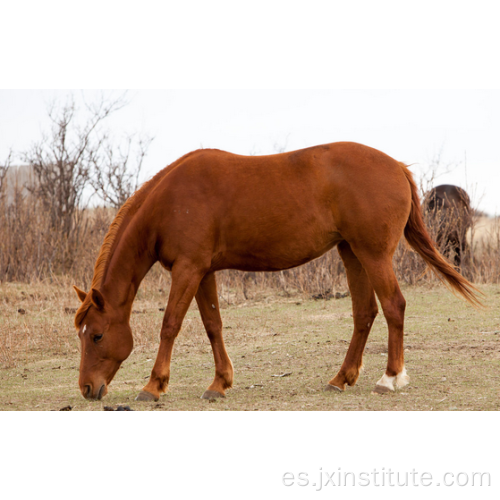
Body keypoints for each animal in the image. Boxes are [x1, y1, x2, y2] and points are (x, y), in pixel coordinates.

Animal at [73, 142, 480, 402]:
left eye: (96, 335)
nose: (87, 389)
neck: (170, 201)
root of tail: (397, 166)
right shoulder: (203, 272)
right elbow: (213, 325)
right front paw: (220, 384)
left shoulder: (188, 270)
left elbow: (170, 325)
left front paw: (154, 386)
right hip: (352, 253)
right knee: (365, 313)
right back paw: (341, 378)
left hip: (374, 255)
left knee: (394, 306)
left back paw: (390, 379)